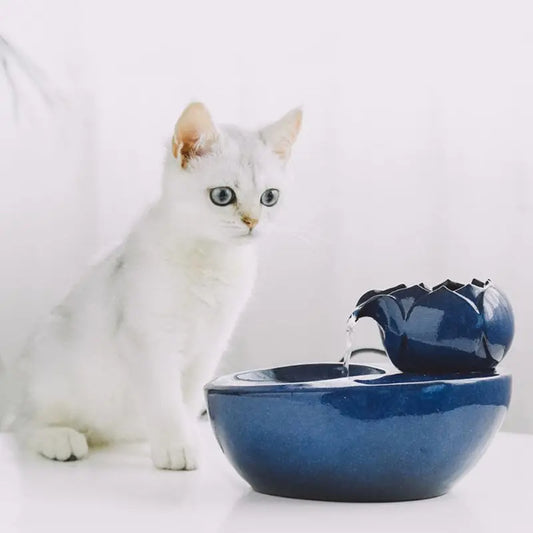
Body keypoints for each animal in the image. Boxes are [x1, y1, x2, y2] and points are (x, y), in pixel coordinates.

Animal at [8, 104, 302, 470]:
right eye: (223, 196)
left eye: (269, 197)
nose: (252, 221)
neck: (210, 261)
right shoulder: (147, 339)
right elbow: (164, 400)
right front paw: (176, 447)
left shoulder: (210, 346)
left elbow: (186, 400)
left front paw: (184, 436)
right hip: (50, 365)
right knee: (25, 425)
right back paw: (58, 438)